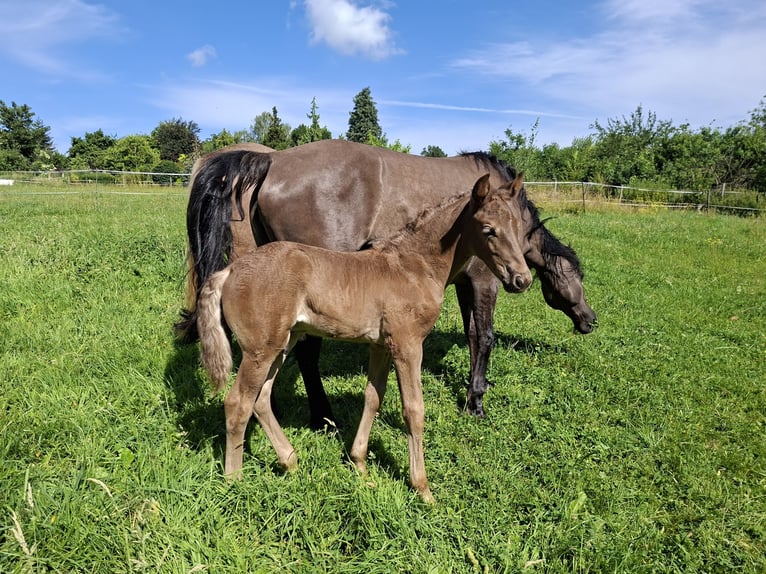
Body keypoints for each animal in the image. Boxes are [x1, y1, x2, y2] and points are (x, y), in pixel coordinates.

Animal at [179, 139, 596, 423]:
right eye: (578, 276)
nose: (590, 320)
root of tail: (274, 159)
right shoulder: (483, 282)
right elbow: (485, 337)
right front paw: (475, 400)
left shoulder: (463, 283)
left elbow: (472, 335)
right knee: (306, 353)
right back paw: (324, 417)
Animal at [196, 174, 533, 502]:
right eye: (488, 230)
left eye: (519, 227)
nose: (522, 279)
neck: (415, 266)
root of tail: (229, 271)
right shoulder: (408, 345)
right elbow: (414, 410)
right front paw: (422, 488)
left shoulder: (380, 346)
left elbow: (373, 398)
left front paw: (359, 465)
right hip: (259, 350)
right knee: (238, 403)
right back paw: (235, 481)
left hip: (281, 344)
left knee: (261, 399)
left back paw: (290, 461)